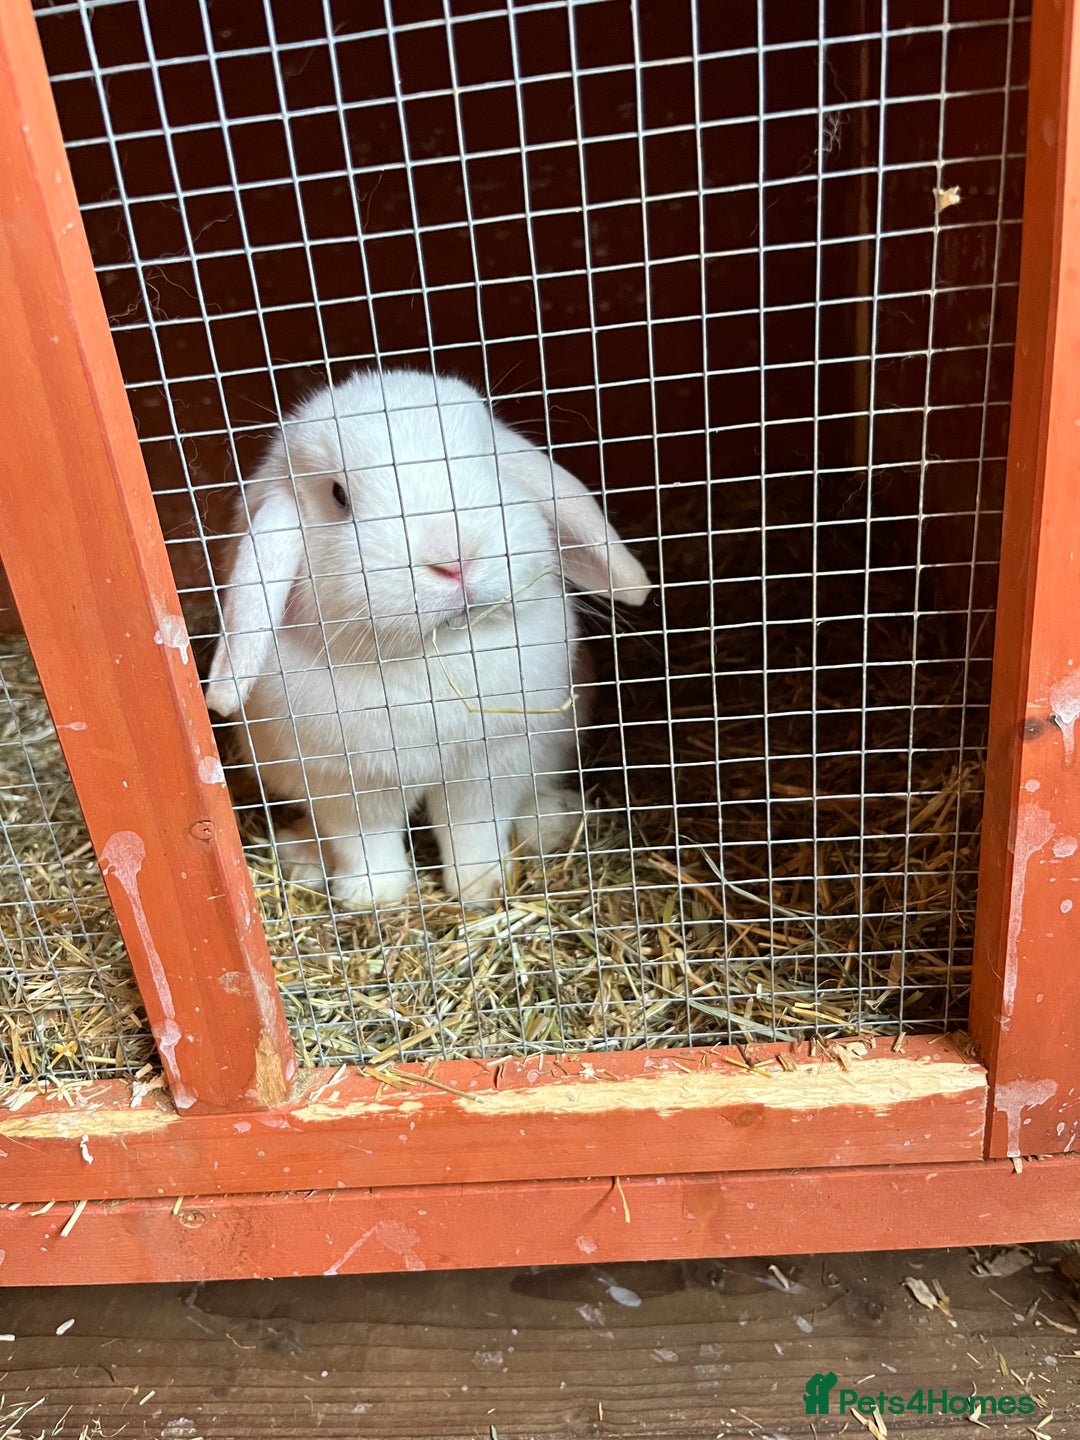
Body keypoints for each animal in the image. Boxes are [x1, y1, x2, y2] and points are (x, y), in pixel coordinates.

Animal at [204, 368, 651, 907]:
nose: (455, 556)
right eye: (338, 496)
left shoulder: (489, 765)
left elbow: (473, 830)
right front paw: (372, 897)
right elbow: (366, 844)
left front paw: (482, 889)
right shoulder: (343, 785)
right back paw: (303, 855)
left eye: (486, 463)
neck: (431, 656)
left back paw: (554, 822)